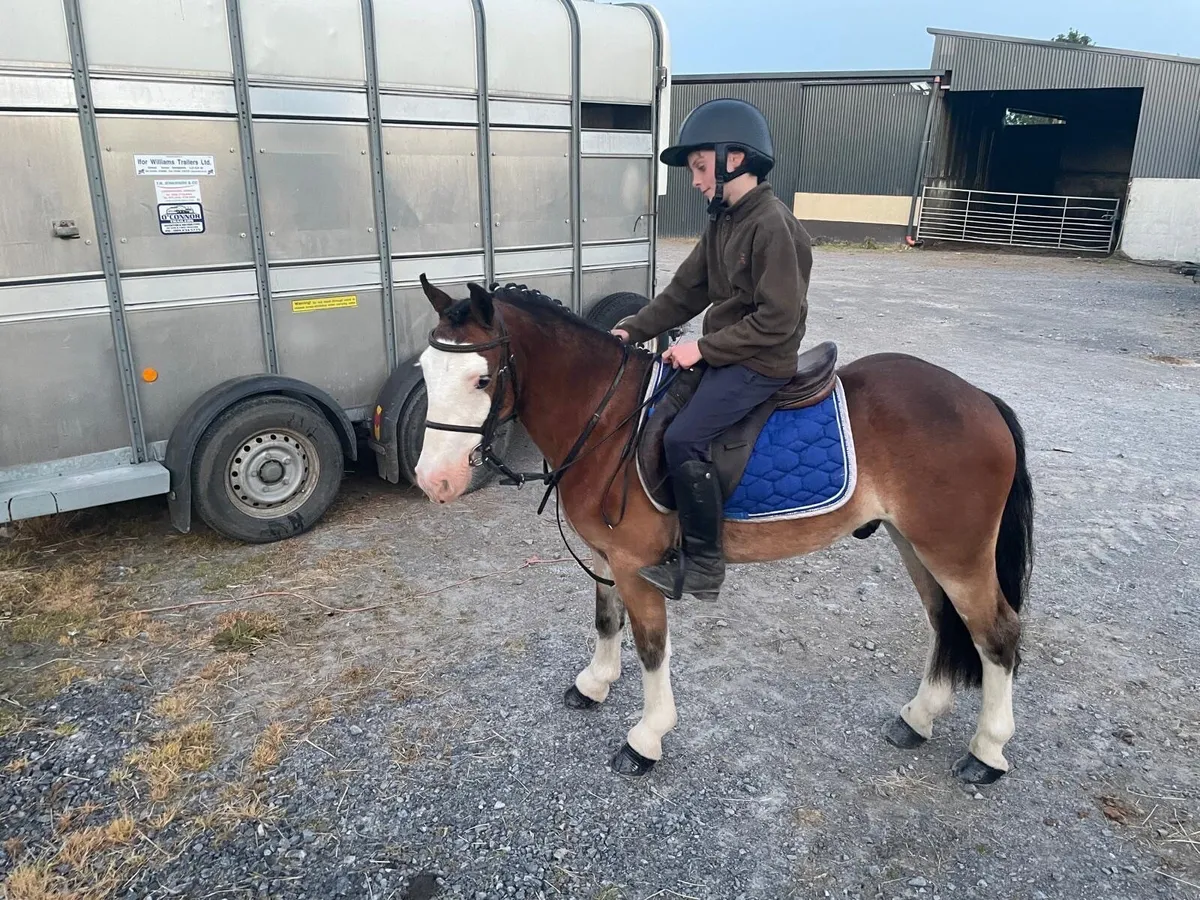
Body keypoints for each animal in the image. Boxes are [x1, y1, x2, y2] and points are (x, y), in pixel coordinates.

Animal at [412, 275, 1033, 785]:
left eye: (481, 378)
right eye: (424, 373)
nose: (432, 480)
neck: (609, 420)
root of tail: (978, 399)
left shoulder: (637, 567)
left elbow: (651, 647)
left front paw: (647, 737)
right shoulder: (606, 557)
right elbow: (606, 620)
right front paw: (594, 685)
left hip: (955, 553)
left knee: (997, 635)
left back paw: (987, 751)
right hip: (917, 546)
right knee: (946, 625)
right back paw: (919, 719)